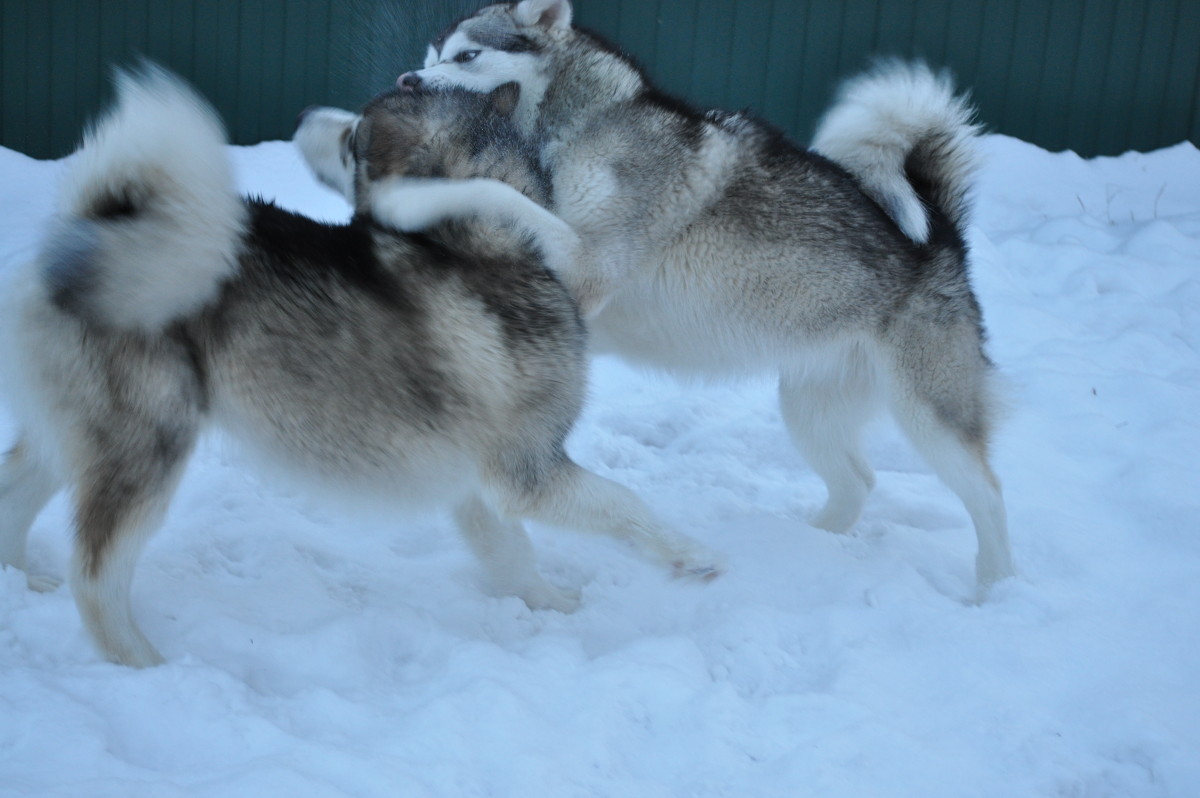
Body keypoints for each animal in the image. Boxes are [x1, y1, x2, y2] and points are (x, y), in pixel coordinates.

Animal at [0, 66, 720, 667]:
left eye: (350, 138)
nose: (302, 112)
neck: (493, 247)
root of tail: (87, 229)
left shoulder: (479, 483)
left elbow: (511, 553)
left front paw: (551, 606)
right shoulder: (526, 472)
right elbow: (625, 504)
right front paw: (691, 556)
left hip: (74, 437)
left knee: (14, 496)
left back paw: (19, 581)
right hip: (151, 445)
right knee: (95, 576)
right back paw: (147, 665)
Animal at [393, 0, 1012, 585]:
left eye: (466, 56)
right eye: (430, 58)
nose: (407, 81)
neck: (578, 126)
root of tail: (942, 239)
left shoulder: (589, 266)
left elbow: (497, 195)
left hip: (928, 416)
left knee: (988, 497)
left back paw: (993, 588)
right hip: (809, 408)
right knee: (858, 481)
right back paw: (808, 544)